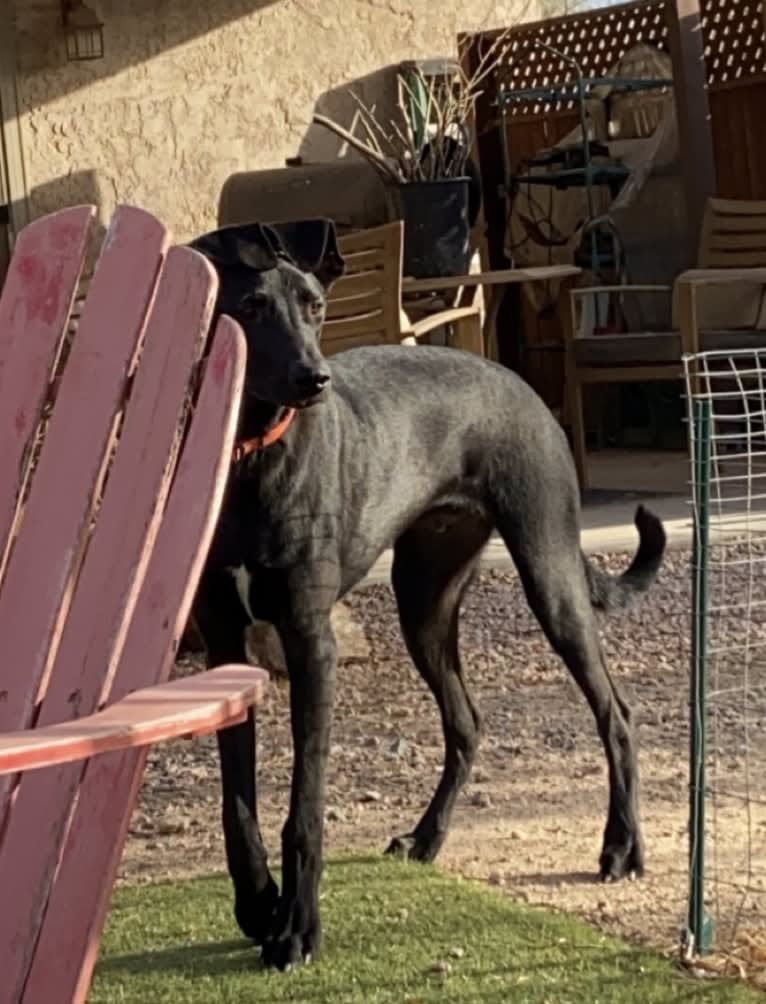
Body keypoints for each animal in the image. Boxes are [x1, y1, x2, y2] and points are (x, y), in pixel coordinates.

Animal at [190, 215, 666, 967]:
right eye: (251, 307)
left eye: (316, 306)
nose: (313, 378)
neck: (249, 455)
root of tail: (517, 379)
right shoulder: (223, 645)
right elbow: (237, 806)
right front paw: (258, 903)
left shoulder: (309, 640)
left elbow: (304, 807)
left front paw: (297, 927)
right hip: (424, 601)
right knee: (465, 723)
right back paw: (426, 836)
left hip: (550, 571)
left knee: (613, 711)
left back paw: (621, 846)